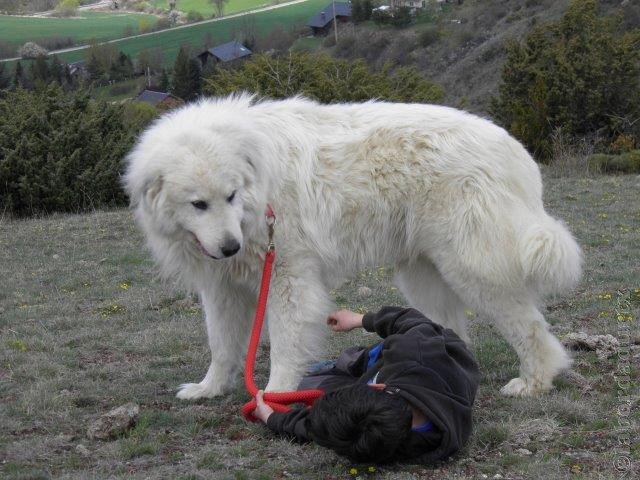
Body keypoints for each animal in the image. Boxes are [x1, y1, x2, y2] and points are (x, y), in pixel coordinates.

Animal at [122, 94, 584, 398]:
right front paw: (208, 389)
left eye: (231, 196)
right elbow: (221, 345)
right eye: (198, 204)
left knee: (529, 327)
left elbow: (285, 344)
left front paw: (275, 394)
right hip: (424, 273)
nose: (230, 247)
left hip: (471, 266)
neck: (258, 195)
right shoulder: (222, 287)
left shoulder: (288, 277)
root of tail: (514, 150)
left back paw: (535, 381)